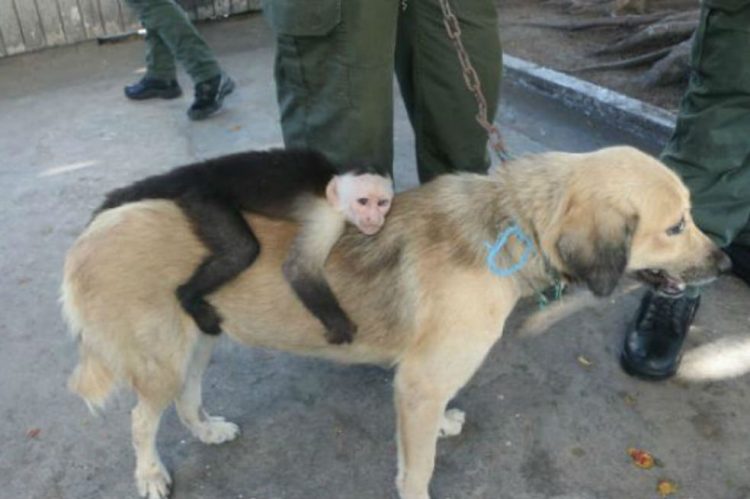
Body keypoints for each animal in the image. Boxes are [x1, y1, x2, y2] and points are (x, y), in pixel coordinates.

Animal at [95, 148, 394, 344]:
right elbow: (298, 269)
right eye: (363, 202)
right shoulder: (327, 217)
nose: (374, 218)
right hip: (203, 198)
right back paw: (188, 296)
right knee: (241, 250)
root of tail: (197, 171)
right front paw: (339, 325)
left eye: (382, 203)